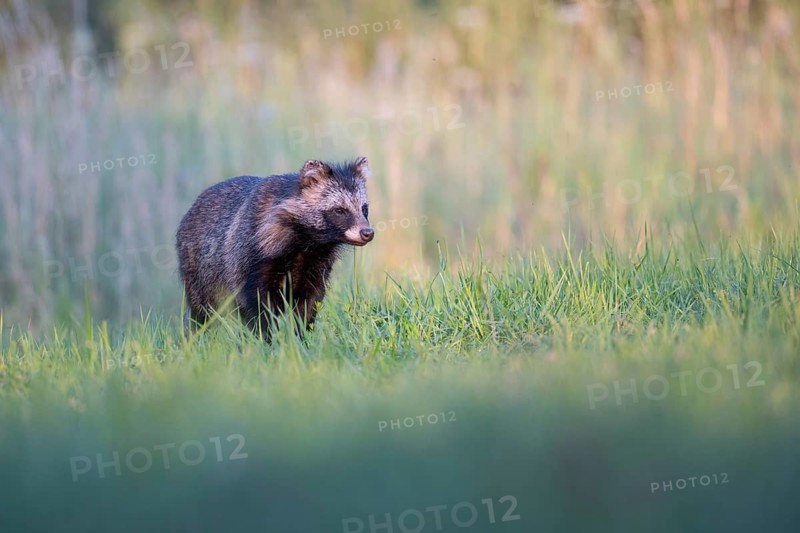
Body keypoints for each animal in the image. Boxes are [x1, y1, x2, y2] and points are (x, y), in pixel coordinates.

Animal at [176, 157, 374, 338]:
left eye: (364, 208)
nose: (367, 232)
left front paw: (302, 336)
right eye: (339, 210)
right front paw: (267, 339)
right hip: (198, 272)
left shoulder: (316, 266)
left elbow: (309, 302)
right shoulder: (252, 258)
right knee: (202, 312)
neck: (307, 243)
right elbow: (258, 305)